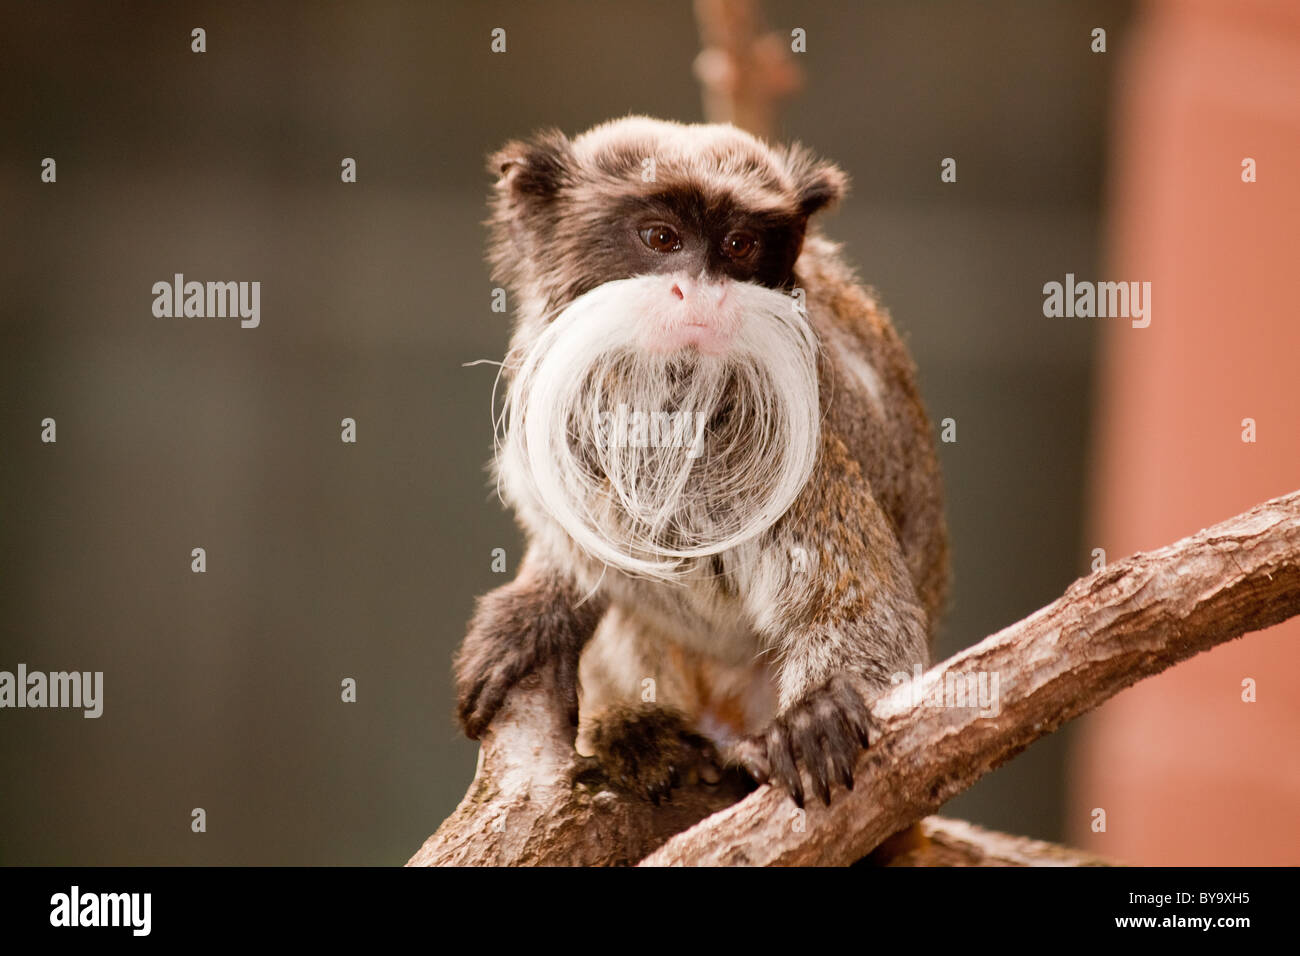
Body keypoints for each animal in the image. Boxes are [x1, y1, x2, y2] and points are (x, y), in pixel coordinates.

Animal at [454, 117, 946, 806]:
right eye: (662, 238)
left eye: (738, 246)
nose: (701, 292)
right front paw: (536, 611)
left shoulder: (803, 444)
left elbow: (872, 613)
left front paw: (819, 711)